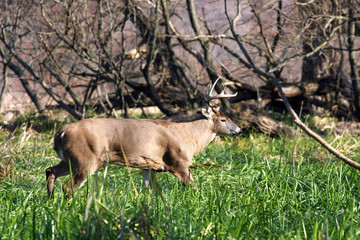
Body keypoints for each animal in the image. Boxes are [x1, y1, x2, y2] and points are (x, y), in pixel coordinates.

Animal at [45, 78, 242, 197]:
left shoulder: (149, 166)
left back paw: (50, 203)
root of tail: (61, 132)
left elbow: (148, 191)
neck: (190, 137)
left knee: (50, 171)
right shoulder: (178, 161)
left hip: (70, 159)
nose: (239, 130)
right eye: (223, 119)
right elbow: (192, 186)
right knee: (68, 186)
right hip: (87, 158)